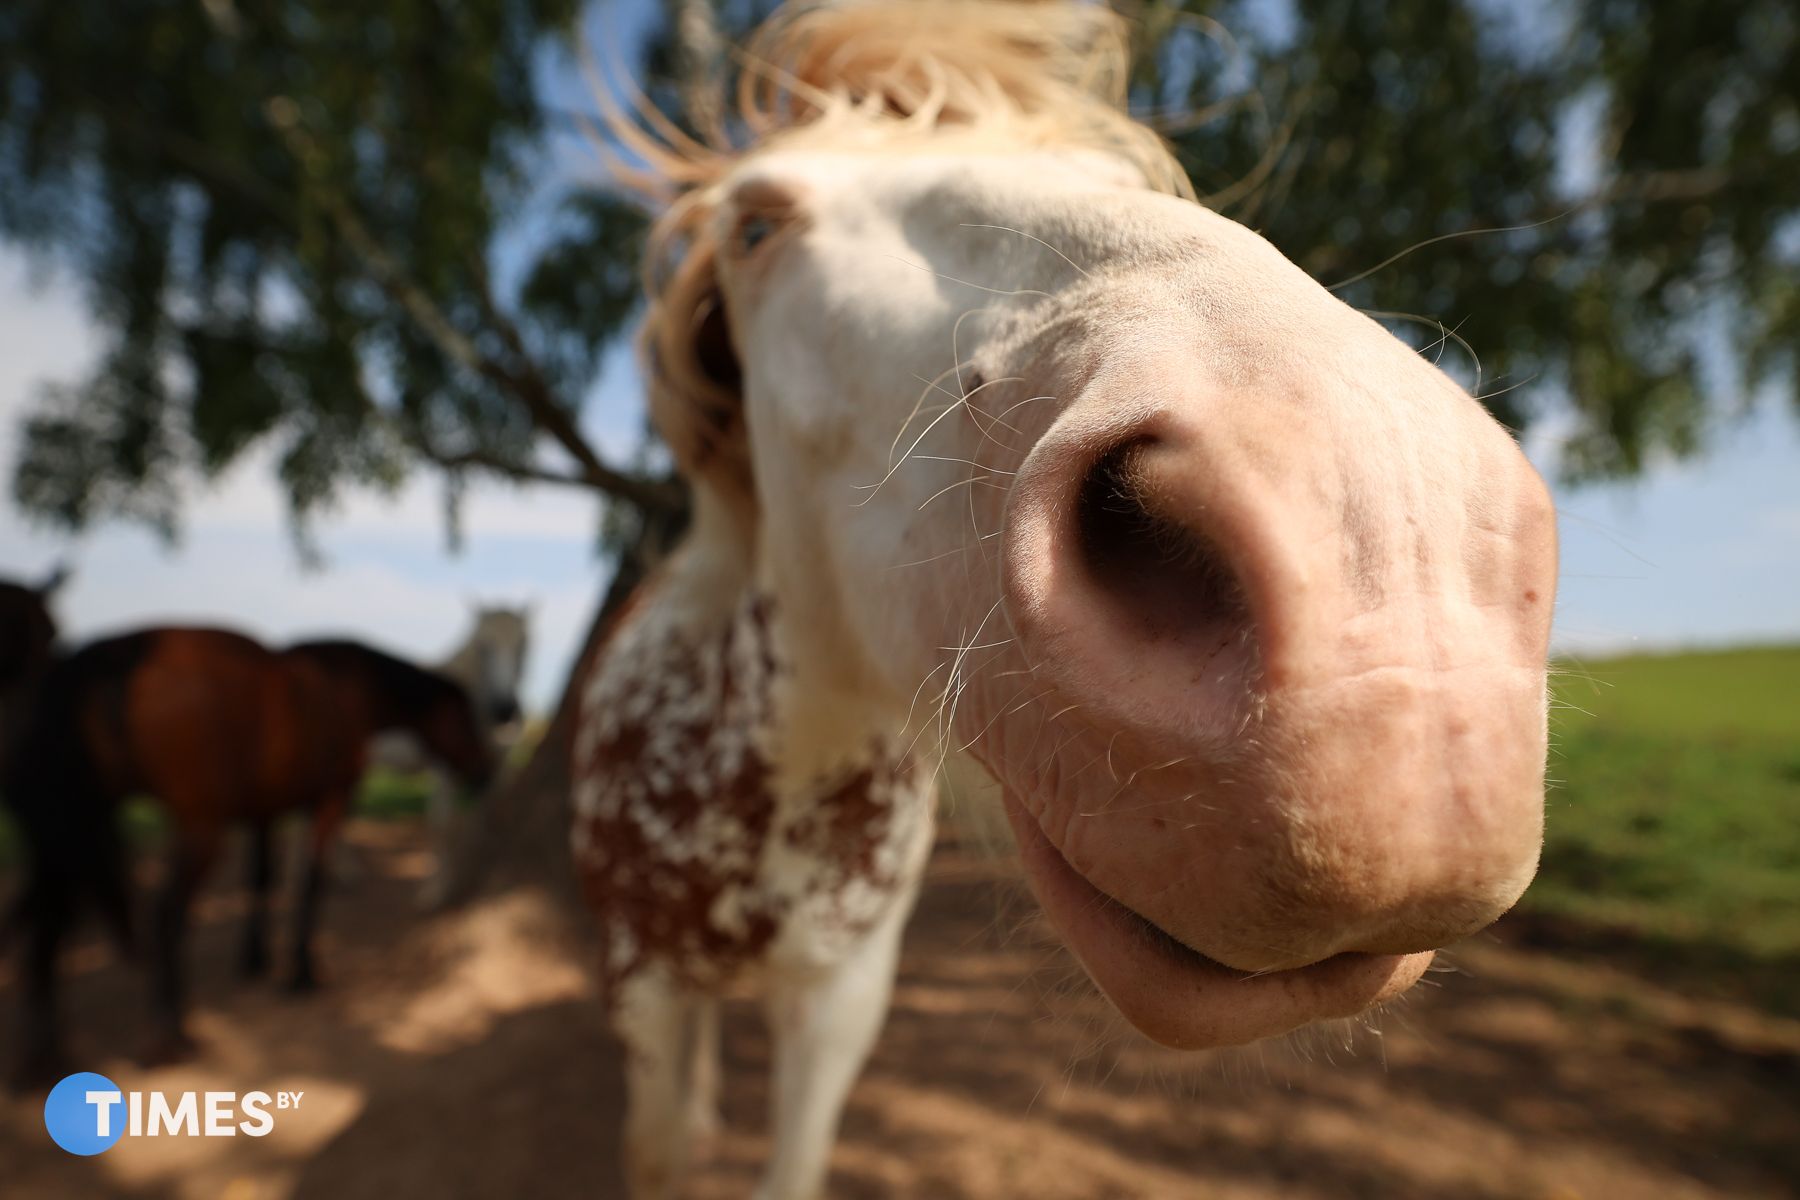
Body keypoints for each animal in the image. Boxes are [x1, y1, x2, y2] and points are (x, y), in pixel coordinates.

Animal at [5, 627, 492, 1080]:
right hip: (196, 827)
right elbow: (309, 881)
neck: (347, 687)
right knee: (164, 913)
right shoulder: (330, 800)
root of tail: (123, 650)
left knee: (50, 923)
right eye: (468, 719)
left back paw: (42, 1059)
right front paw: (301, 971)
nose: (486, 772)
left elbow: (261, 878)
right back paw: (170, 1035)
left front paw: (257, 958)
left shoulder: (264, 809)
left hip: (72, 827)